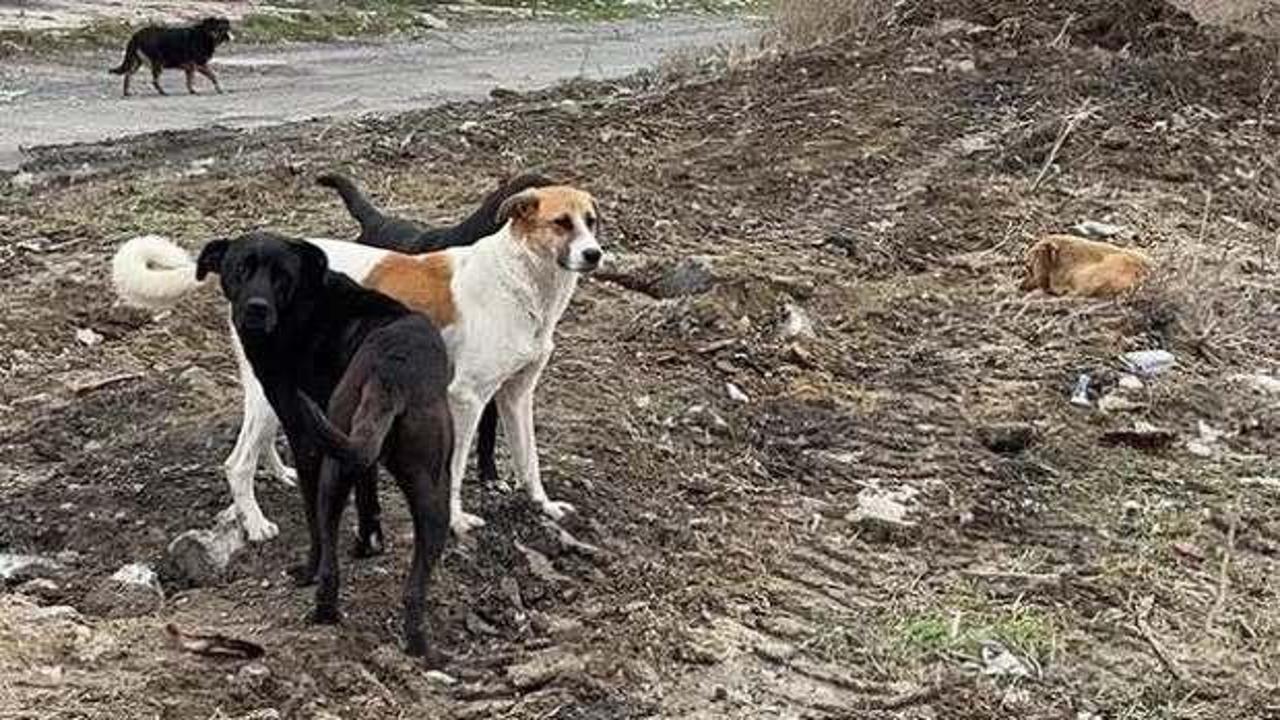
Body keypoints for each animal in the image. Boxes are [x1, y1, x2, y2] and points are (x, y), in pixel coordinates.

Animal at [112, 184, 601, 538]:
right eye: (561, 223)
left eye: (591, 223)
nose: (594, 254)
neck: (519, 276)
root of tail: (235, 256)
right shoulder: (467, 398)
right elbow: (457, 468)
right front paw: (458, 521)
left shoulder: (516, 396)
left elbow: (529, 460)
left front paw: (544, 508)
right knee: (237, 462)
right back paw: (255, 524)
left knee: (260, 439)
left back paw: (280, 473)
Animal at [197, 230, 458, 655]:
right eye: (240, 269)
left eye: (282, 276)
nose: (255, 310)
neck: (303, 306)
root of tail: (391, 371)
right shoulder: (356, 450)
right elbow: (368, 493)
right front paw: (369, 543)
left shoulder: (306, 439)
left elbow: (314, 523)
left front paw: (310, 568)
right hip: (432, 487)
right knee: (415, 585)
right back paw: (417, 644)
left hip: (332, 469)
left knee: (326, 547)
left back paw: (320, 599)